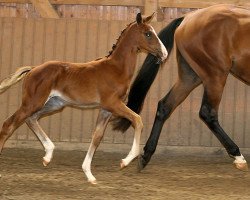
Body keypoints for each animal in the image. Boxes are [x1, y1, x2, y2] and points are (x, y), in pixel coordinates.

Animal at [0, 13, 169, 184]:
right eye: (148, 33)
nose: (165, 53)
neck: (116, 69)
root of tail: (33, 69)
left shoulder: (106, 110)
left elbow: (97, 136)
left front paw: (89, 174)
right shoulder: (113, 104)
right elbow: (137, 120)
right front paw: (125, 161)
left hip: (53, 104)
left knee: (31, 119)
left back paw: (48, 155)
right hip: (33, 103)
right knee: (9, 124)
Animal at [114, 5, 250, 172]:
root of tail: (188, 18)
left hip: (190, 77)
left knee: (165, 106)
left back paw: (146, 155)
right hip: (215, 75)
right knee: (207, 113)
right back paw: (237, 155)